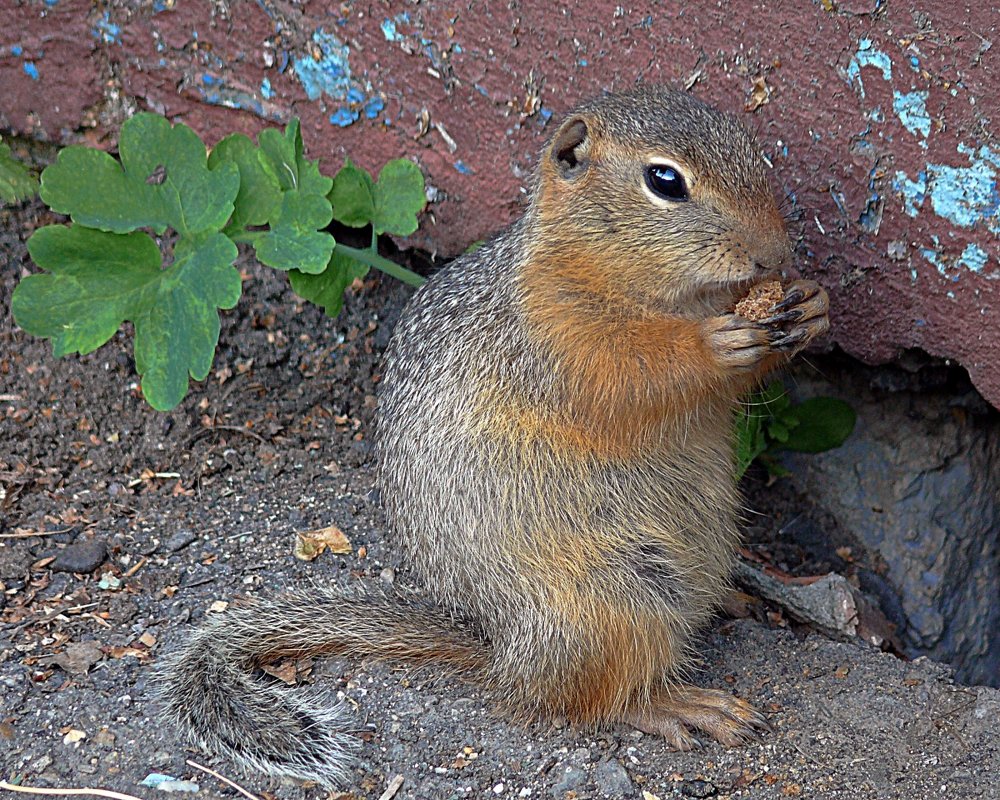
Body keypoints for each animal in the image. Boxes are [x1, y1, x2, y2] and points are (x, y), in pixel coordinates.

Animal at [160, 84, 832, 784]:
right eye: (665, 180)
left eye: (757, 154)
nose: (776, 255)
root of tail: (501, 650)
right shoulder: (556, 332)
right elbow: (629, 372)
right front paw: (713, 343)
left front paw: (811, 306)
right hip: (617, 600)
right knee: (586, 697)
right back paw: (677, 704)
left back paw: (734, 598)